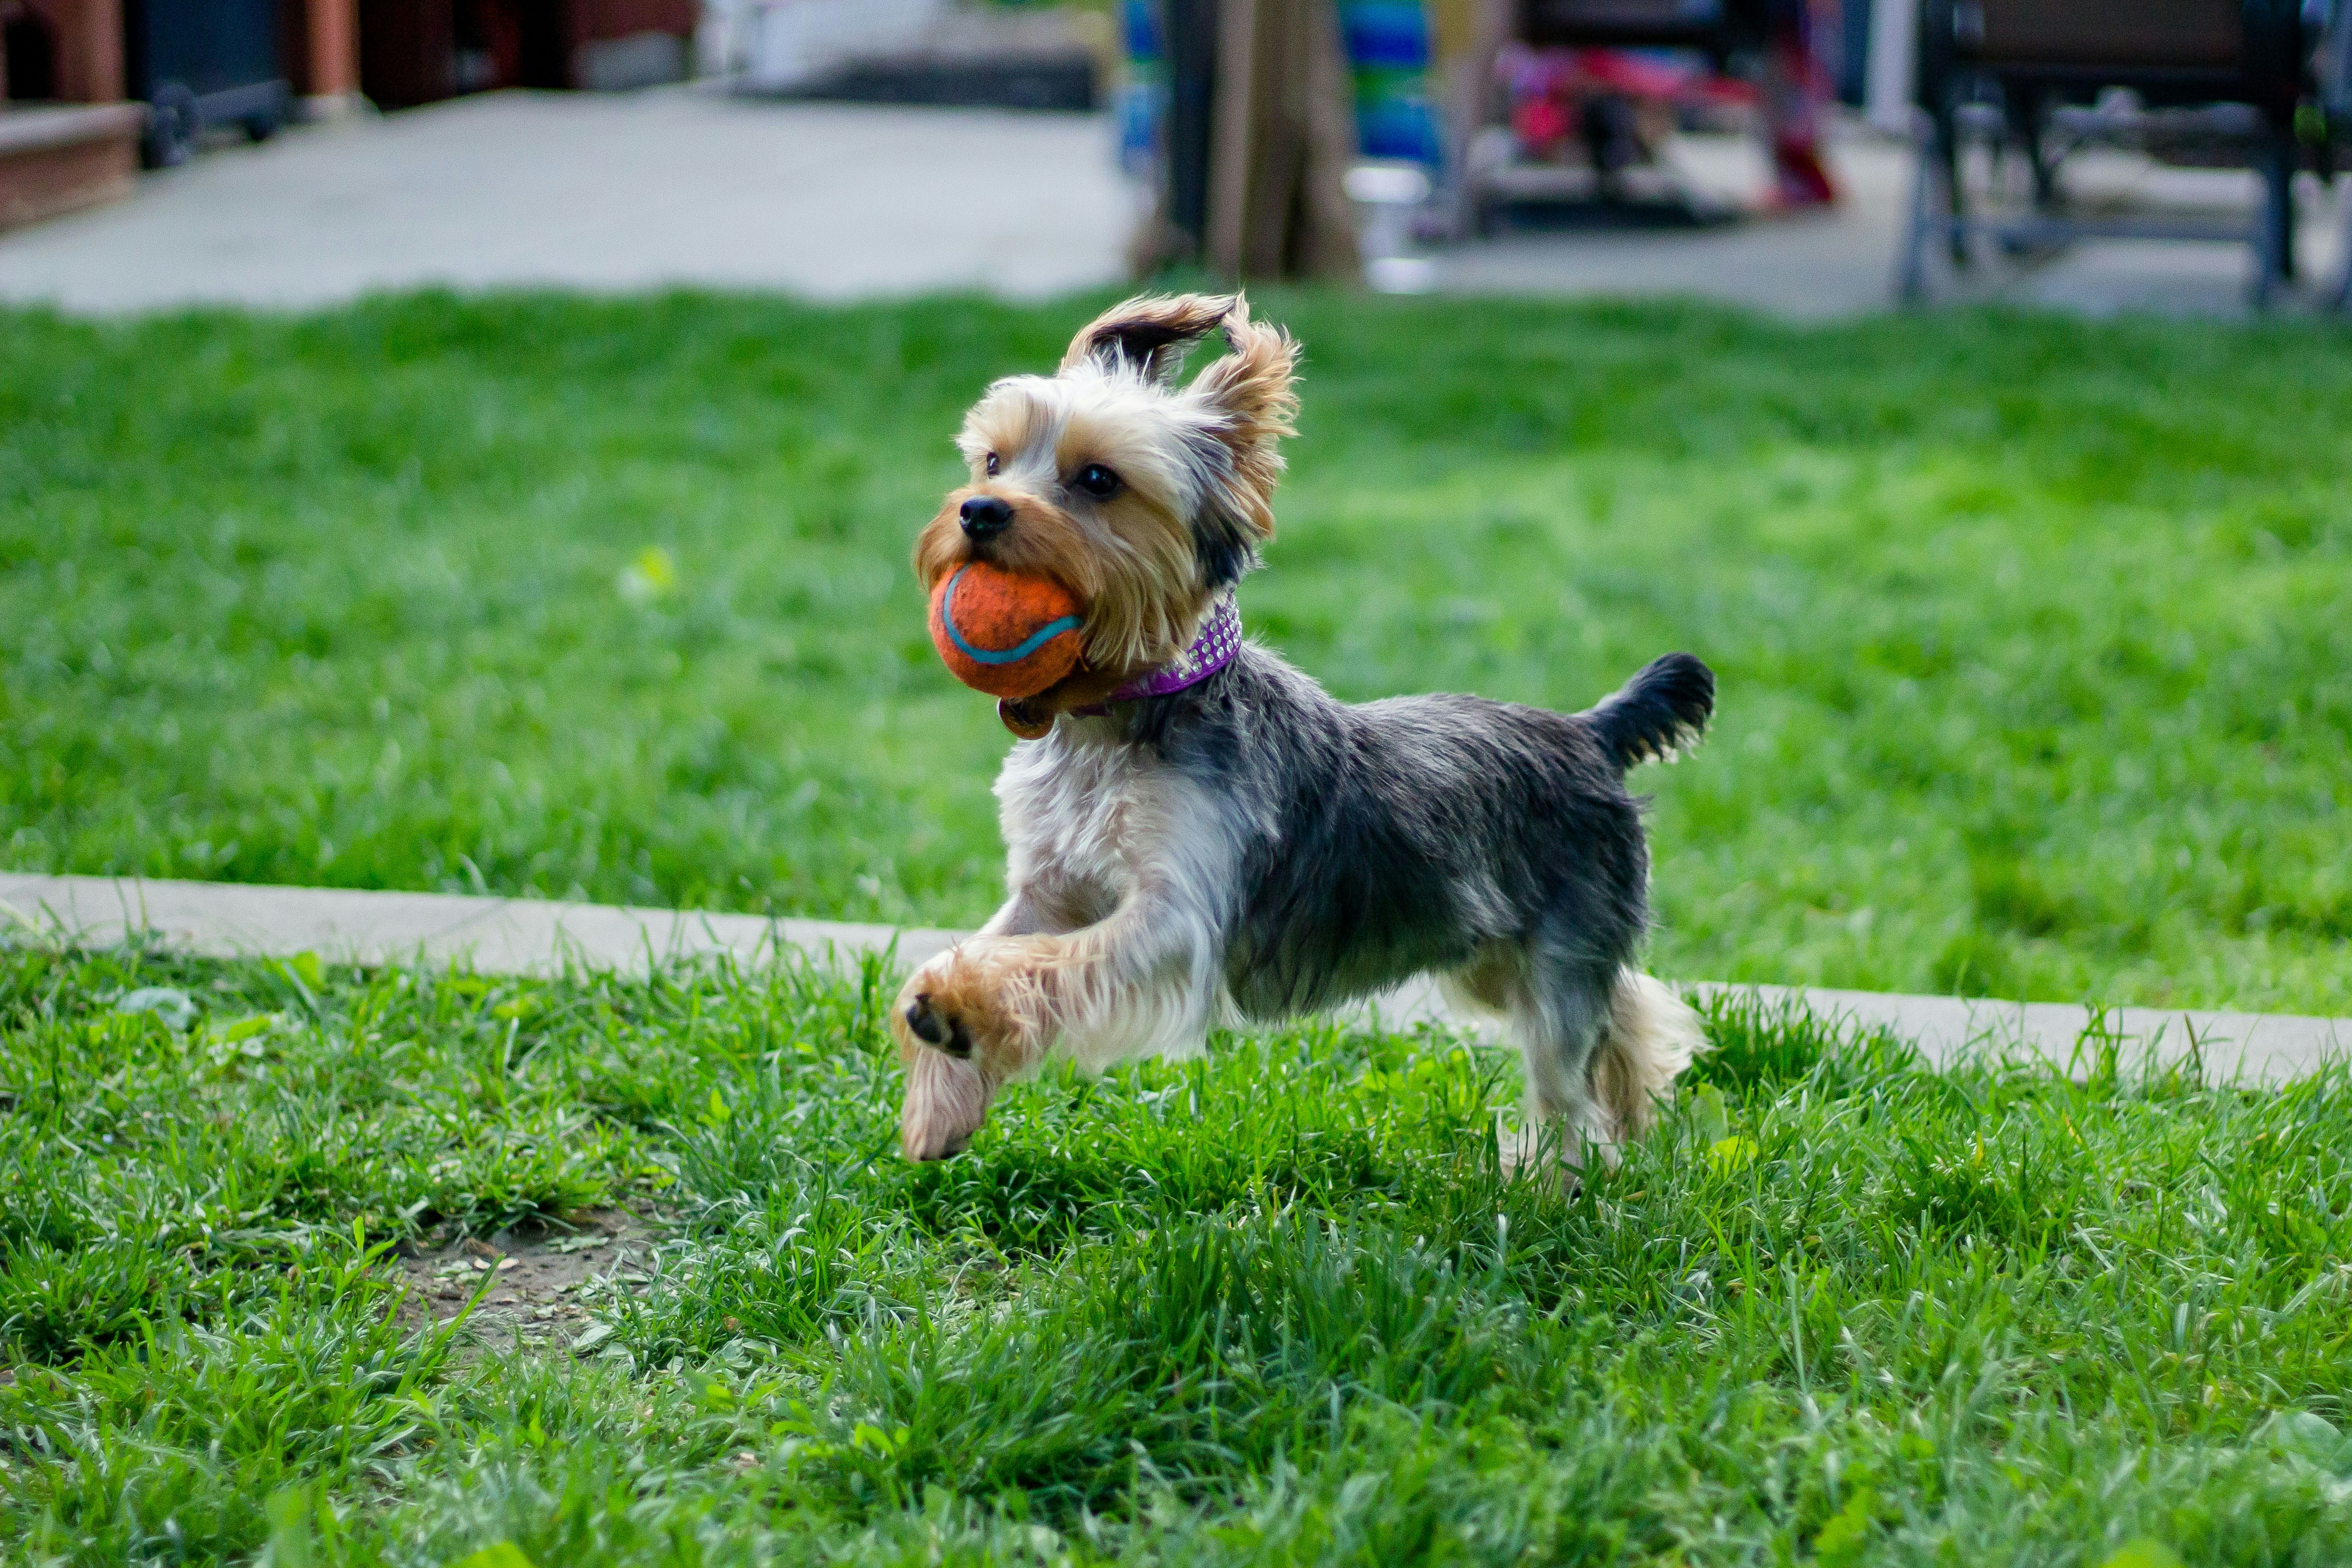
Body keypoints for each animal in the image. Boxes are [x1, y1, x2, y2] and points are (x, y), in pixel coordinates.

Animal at [884, 297, 1712, 1175]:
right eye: (991, 461)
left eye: (1099, 480)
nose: (978, 511)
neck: (1115, 714)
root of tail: (1591, 732)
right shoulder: (1052, 886)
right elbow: (993, 944)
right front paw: (938, 1089)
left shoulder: (1176, 916)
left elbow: (1050, 963)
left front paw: (958, 1011)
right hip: (1486, 949)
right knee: (1626, 1012)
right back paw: (1637, 1105)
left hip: (1558, 943)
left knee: (1565, 1078)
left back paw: (1554, 1182)